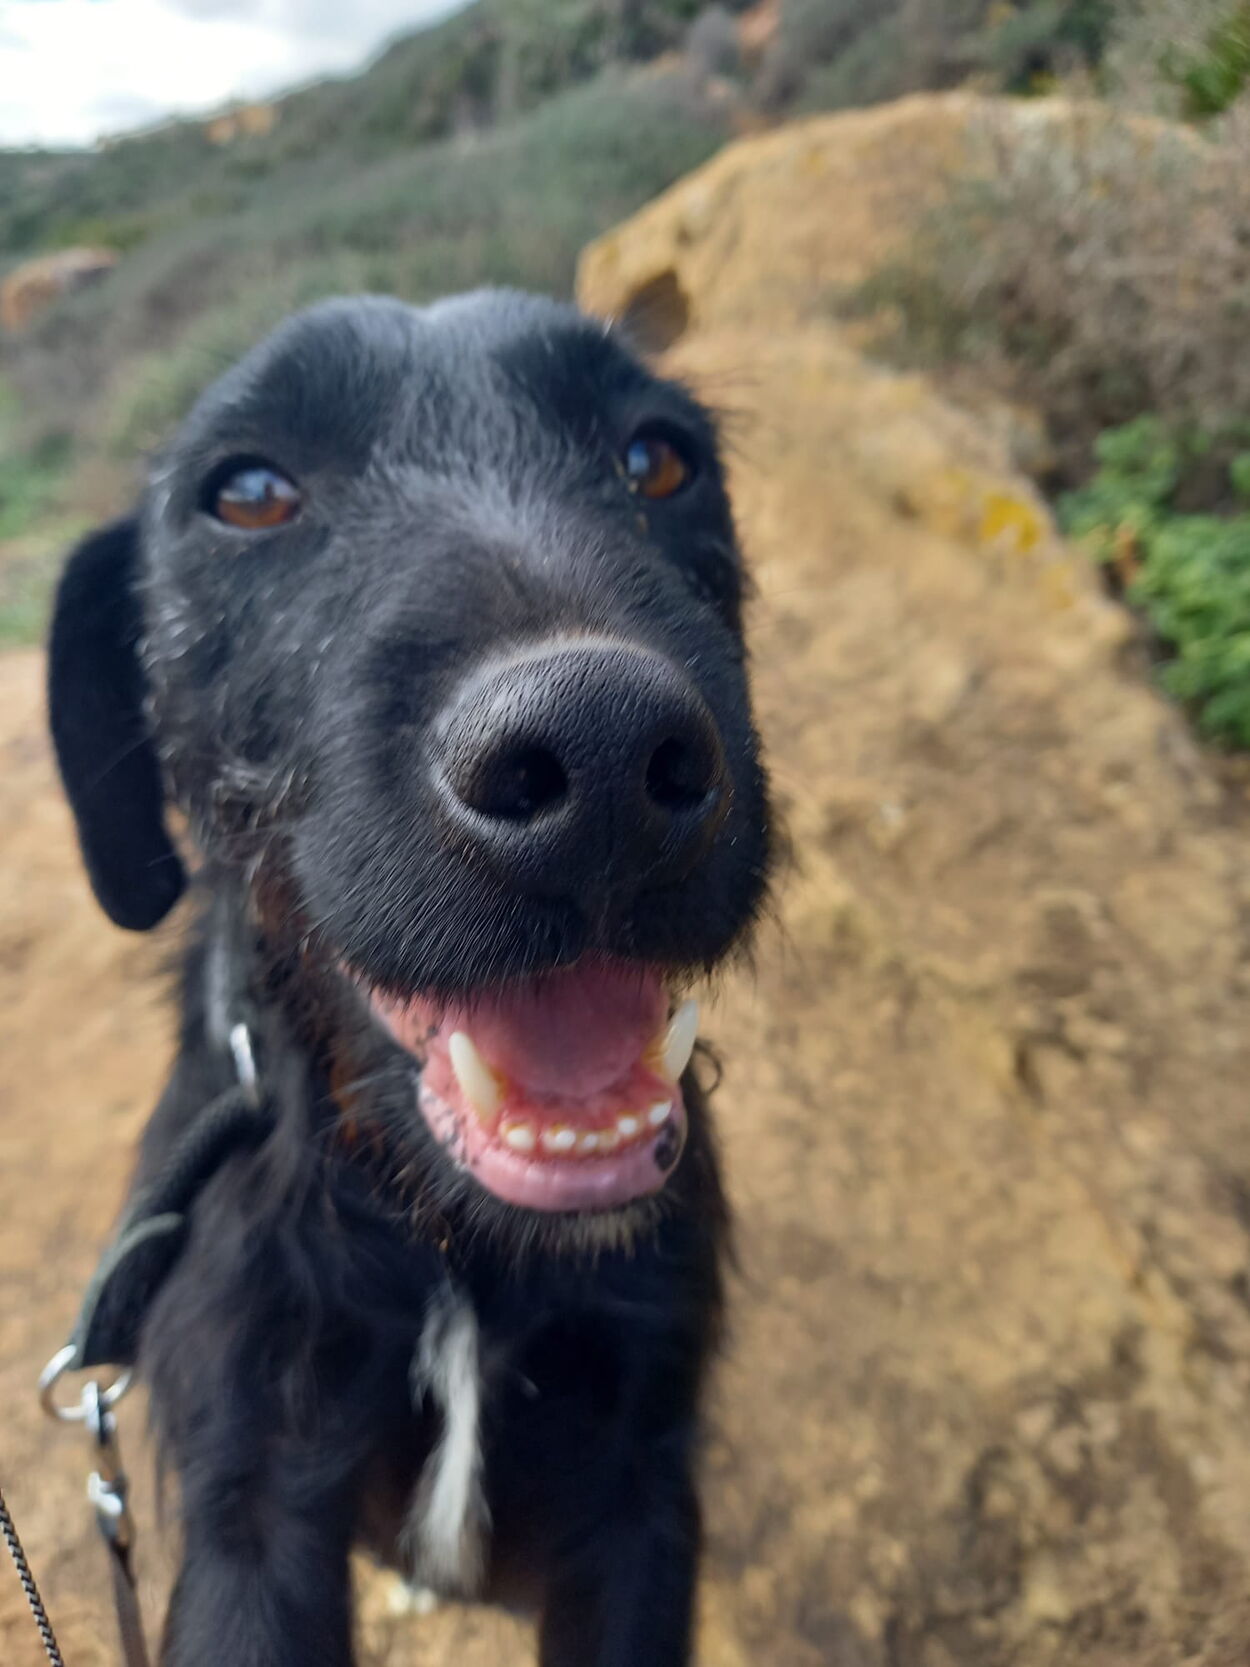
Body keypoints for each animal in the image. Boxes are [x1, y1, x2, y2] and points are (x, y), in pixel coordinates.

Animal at [47, 290, 771, 1666]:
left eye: (657, 461)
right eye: (248, 492)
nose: (600, 751)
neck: (449, 1246)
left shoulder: (636, 1486)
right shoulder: (253, 1492)